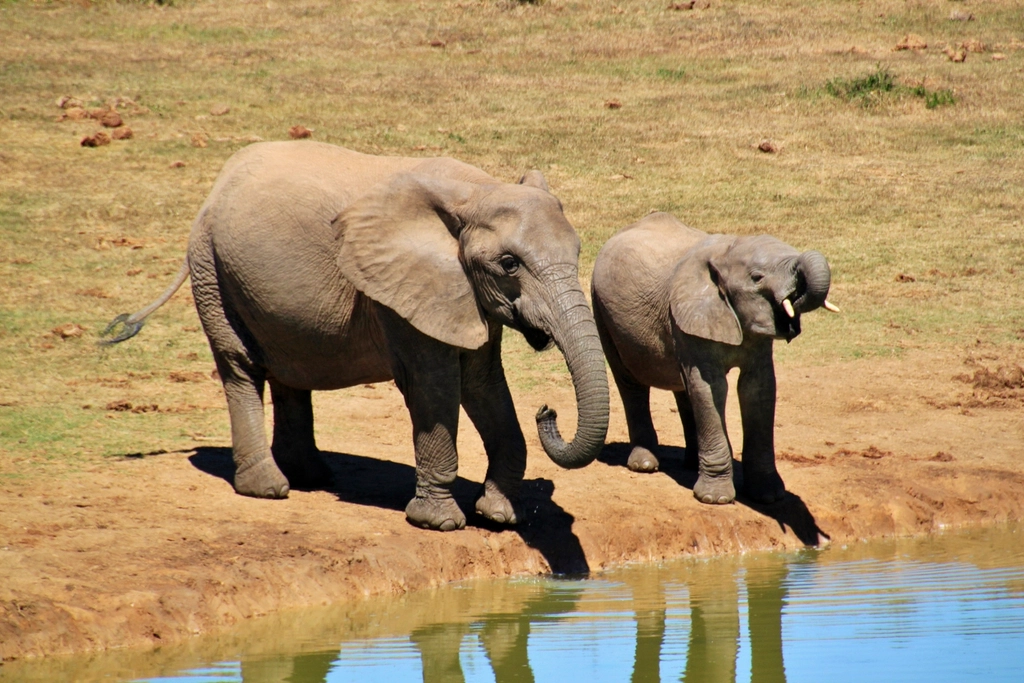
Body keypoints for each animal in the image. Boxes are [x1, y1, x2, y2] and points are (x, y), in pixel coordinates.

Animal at [105, 141, 606, 532]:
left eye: (578, 250)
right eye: (509, 264)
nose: (547, 409)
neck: (476, 190)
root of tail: (216, 188)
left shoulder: (463, 293)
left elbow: (483, 381)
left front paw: (499, 515)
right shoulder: (396, 291)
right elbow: (434, 383)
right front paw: (440, 523)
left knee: (288, 369)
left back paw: (311, 477)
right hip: (211, 269)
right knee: (240, 366)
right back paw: (269, 489)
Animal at [589, 210, 835, 505]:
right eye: (757, 277)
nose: (796, 298)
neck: (728, 251)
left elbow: (758, 388)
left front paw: (768, 496)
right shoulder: (690, 315)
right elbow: (711, 387)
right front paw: (714, 499)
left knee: (683, 386)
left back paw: (691, 464)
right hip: (602, 310)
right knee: (631, 382)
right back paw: (645, 464)